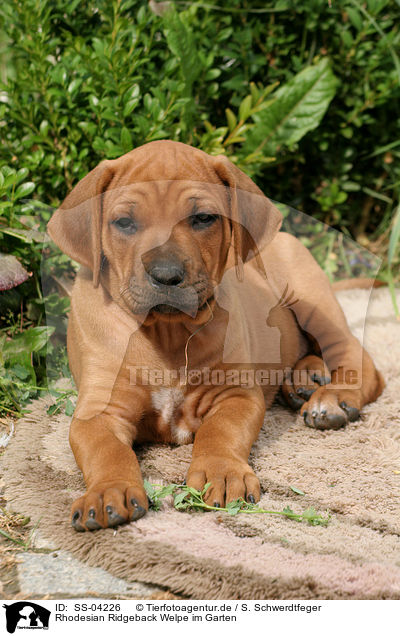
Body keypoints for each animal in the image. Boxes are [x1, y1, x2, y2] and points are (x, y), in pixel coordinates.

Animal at [47, 143, 384, 532]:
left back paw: (332, 398)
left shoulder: (235, 394)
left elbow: (220, 431)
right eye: (124, 222)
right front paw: (108, 490)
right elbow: (106, 449)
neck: (168, 333)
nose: (166, 275)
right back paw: (303, 378)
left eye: (204, 218)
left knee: (356, 356)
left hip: (309, 295)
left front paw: (220, 473)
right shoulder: (99, 410)